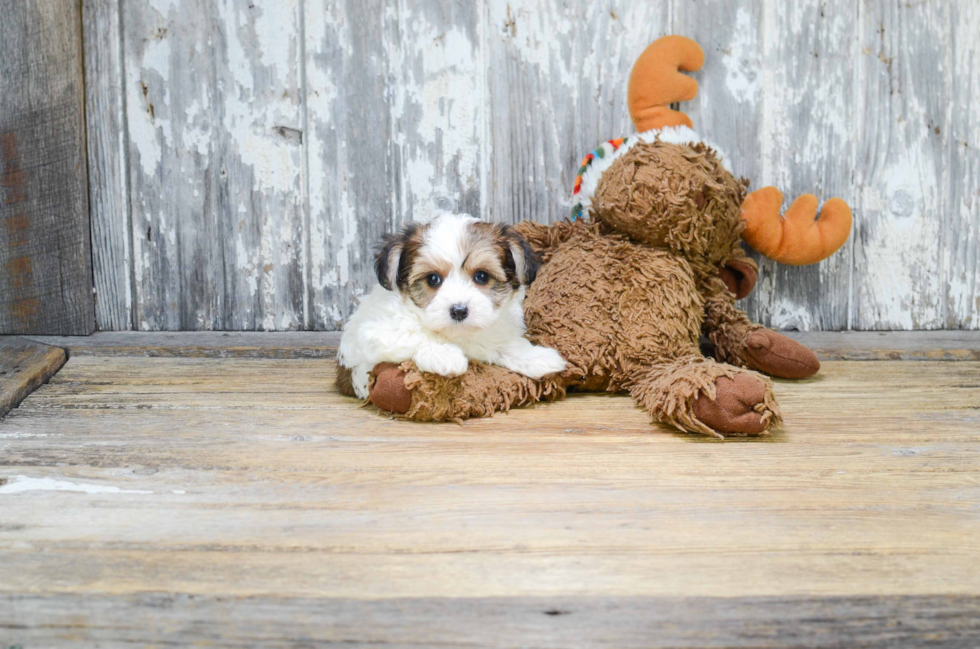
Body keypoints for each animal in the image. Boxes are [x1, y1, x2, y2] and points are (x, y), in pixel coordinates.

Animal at [338, 213, 564, 398]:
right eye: (433, 279)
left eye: (481, 276)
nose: (459, 311)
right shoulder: (375, 333)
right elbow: (415, 336)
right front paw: (445, 355)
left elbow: (502, 343)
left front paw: (537, 357)